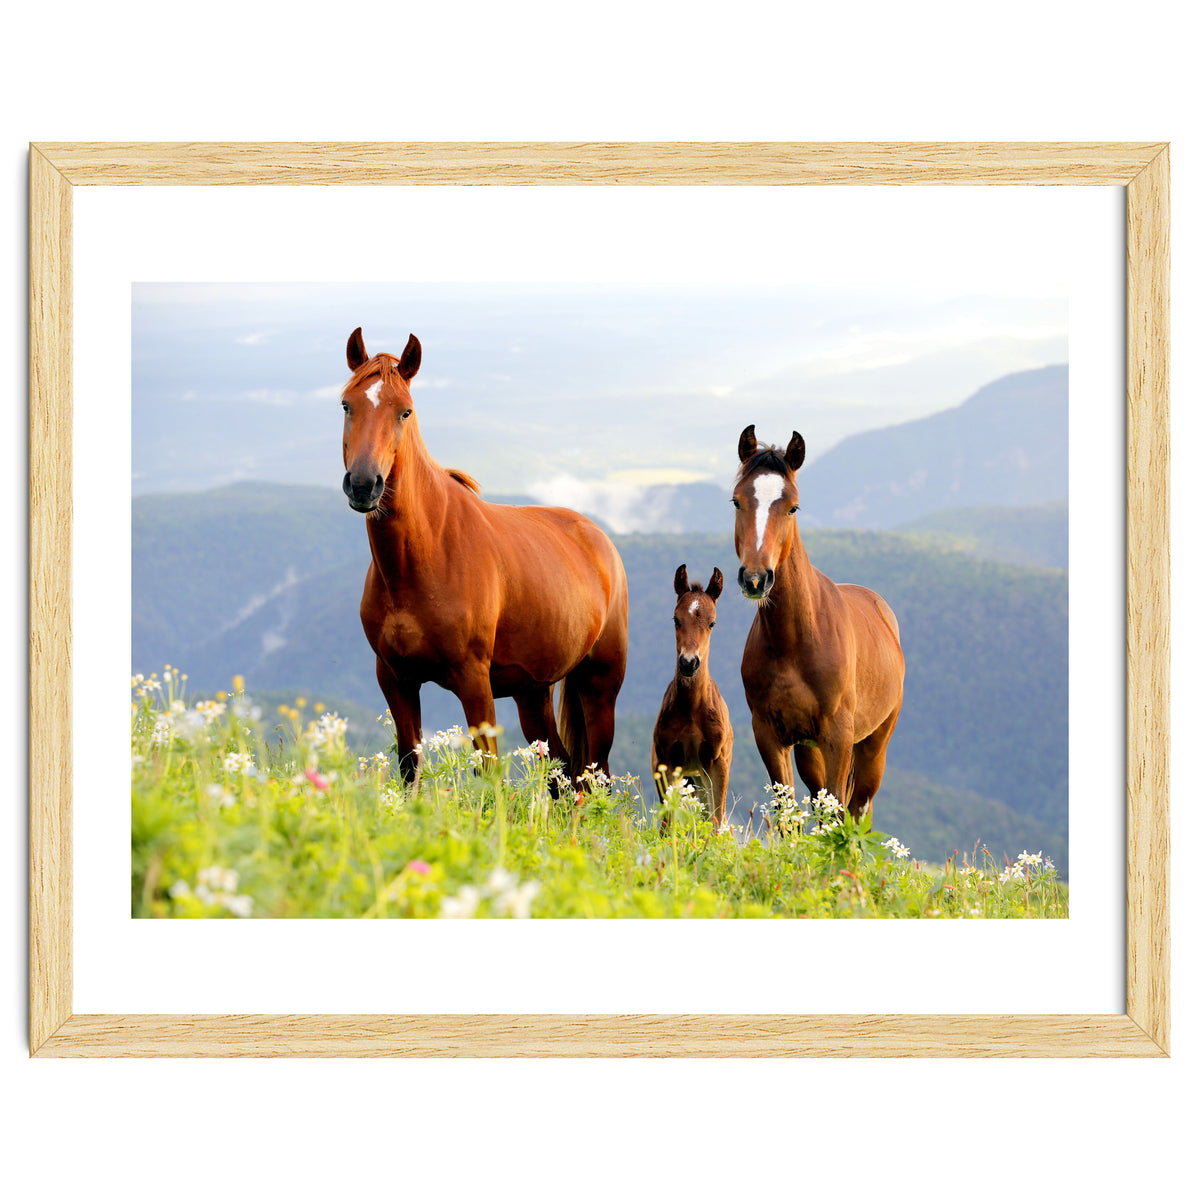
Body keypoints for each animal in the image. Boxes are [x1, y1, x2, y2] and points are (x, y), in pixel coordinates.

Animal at [339, 327, 628, 783]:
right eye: (347, 404)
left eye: (405, 412)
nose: (365, 484)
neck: (423, 558)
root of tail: (600, 540)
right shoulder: (395, 678)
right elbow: (409, 766)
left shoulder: (474, 680)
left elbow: (489, 772)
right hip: (533, 692)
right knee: (561, 770)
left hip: (600, 684)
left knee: (593, 775)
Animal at [651, 565, 734, 827]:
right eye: (676, 619)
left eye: (712, 623)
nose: (689, 662)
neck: (691, 709)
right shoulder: (666, 762)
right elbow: (667, 822)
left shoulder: (717, 763)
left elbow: (716, 820)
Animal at [732, 425, 904, 821]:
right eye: (737, 501)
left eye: (793, 506)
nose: (755, 578)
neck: (794, 640)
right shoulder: (770, 735)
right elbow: (787, 813)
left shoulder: (837, 737)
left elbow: (840, 810)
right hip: (809, 750)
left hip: (874, 743)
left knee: (859, 807)